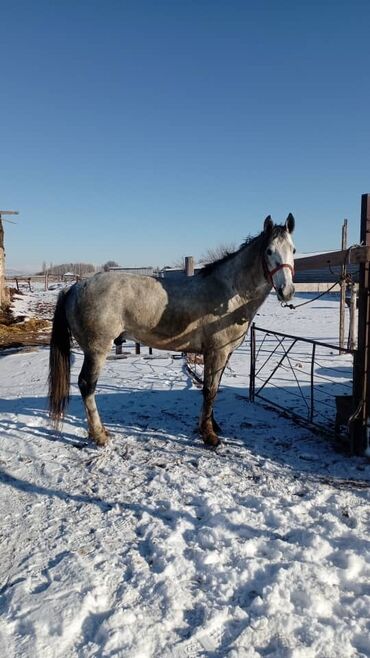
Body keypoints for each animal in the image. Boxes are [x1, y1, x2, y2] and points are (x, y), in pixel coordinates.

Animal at [47, 214, 294, 446]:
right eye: (269, 251)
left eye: (293, 249)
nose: (287, 291)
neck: (228, 292)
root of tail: (74, 287)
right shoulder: (216, 352)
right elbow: (210, 390)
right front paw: (209, 435)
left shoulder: (225, 353)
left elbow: (214, 388)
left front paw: (213, 425)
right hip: (97, 350)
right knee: (87, 385)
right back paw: (99, 435)